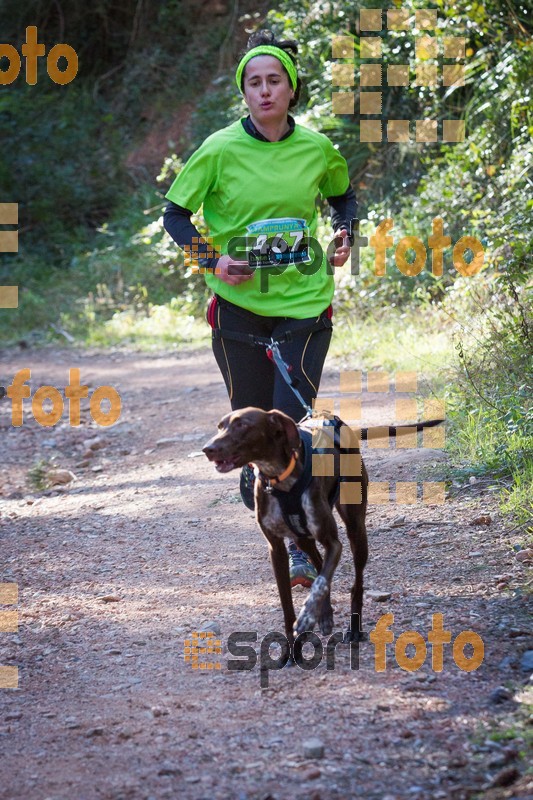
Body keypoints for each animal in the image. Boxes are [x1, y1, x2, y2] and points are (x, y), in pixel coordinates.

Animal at [203, 410, 440, 648]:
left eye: (242, 425)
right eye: (219, 426)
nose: (207, 449)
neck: (281, 479)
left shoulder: (334, 543)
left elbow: (320, 582)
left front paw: (307, 617)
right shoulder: (276, 549)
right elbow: (289, 602)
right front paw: (292, 647)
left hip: (355, 529)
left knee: (354, 583)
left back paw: (354, 628)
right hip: (302, 539)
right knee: (318, 564)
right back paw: (325, 614)